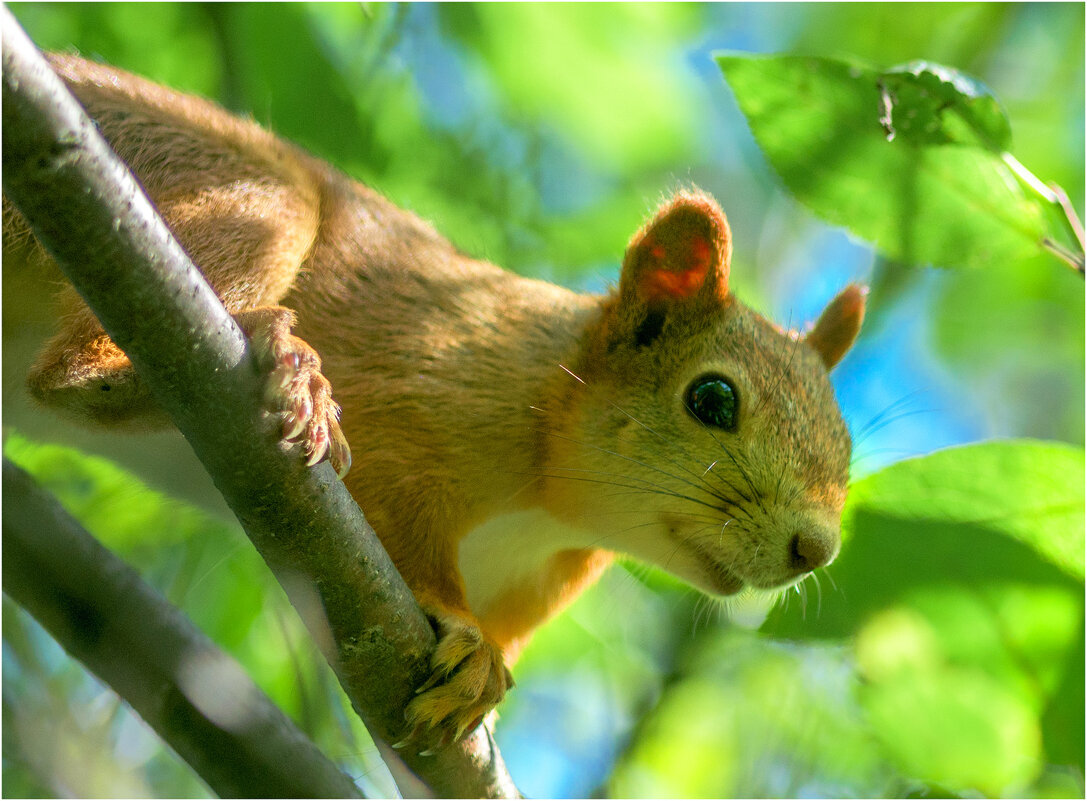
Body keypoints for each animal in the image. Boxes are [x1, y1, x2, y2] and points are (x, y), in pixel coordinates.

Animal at [2, 54, 865, 747]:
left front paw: (487, 674)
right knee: (76, 371)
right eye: (711, 398)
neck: (556, 508)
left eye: (847, 439)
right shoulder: (427, 388)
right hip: (235, 192)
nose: (814, 548)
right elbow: (399, 512)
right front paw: (465, 635)